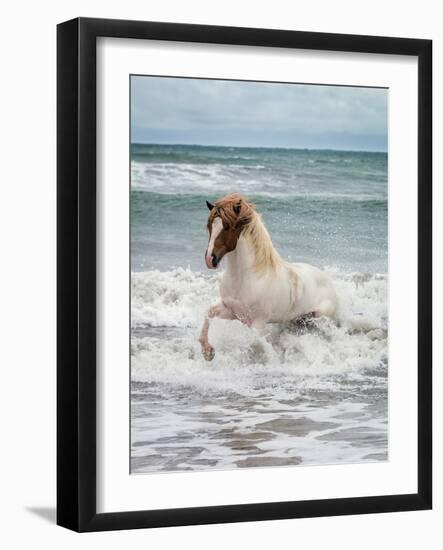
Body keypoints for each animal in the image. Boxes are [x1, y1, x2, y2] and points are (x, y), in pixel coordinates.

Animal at [199, 194, 338, 362]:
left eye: (227, 227)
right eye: (210, 226)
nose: (210, 259)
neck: (245, 277)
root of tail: (329, 282)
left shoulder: (258, 320)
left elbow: (255, 339)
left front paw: (272, 356)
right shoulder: (233, 312)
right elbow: (208, 313)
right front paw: (208, 352)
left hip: (318, 319)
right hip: (296, 320)